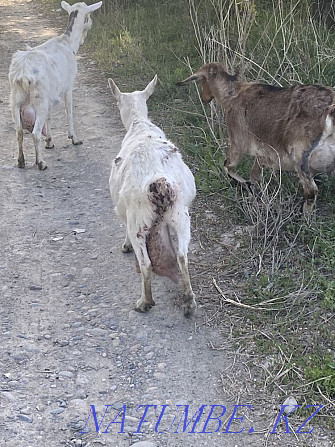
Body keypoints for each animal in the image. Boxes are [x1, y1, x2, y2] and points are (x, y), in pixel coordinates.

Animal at [8, 1, 102, 170]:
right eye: (89, 15)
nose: (91, 24)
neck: (69, 43)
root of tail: (23, 76)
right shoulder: (68, 85)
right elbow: (69, 111)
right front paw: (74, 138)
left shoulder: (50, 95)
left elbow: (50, 116)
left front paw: (50, 142)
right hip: (39, 99)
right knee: (35, 133)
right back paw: (40, 163)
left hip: (16, 99)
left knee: (19, 131)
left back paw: (21, 162)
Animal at [108, 75, 197, 316]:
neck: (139, 124)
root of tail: (159, 182)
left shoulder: (125, 213)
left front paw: (125, 245)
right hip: (181, 215)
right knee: (182, 255)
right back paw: (189, 301)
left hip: (138, 220)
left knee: (145, 263)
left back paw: (144, 302)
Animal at [178, 62, 335, 214]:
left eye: (202, 80)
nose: (204, 98)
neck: (234, 95)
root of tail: (330, 111)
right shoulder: (264, 153)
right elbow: (255, 174)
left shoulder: (238, 139)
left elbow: (228, 166)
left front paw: (246, 186)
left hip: (300, 155)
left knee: (311, 191)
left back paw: (304, 217)